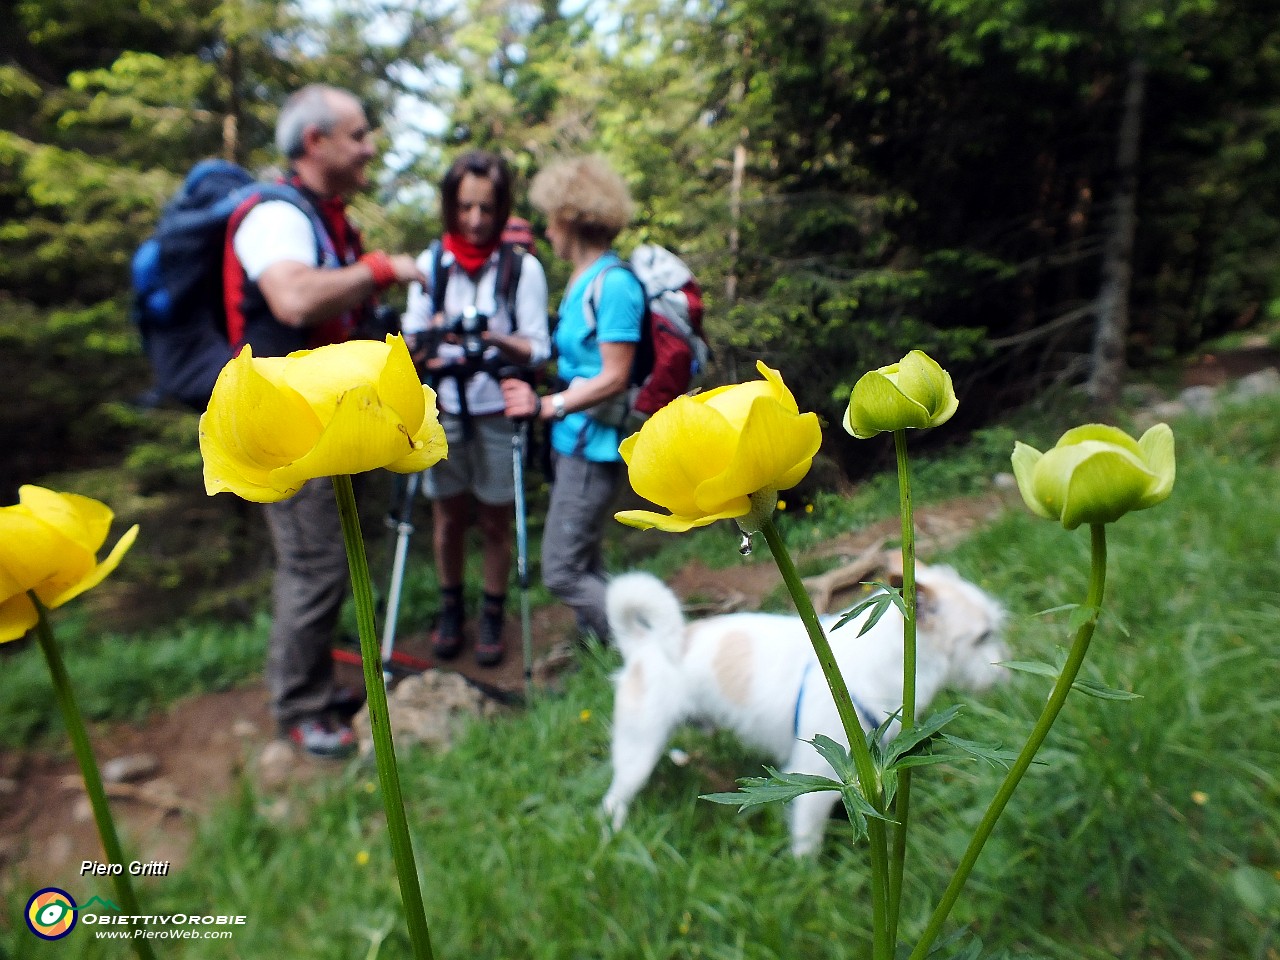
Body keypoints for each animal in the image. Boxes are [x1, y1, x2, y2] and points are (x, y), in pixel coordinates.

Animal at [599, 563, 1008, 855]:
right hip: (639, 750)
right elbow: (807, 840)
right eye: (983, 637)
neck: (879, 659)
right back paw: (613, 834)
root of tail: (643, 645)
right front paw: (808, 878)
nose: (1004, 669)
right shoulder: (817, 778)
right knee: (611, 800)